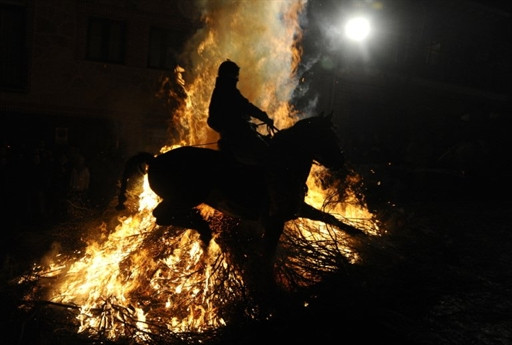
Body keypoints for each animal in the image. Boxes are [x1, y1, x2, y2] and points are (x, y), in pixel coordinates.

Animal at [116, 113, 364, 258]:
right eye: (326, 136)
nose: (340, 161)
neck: (282, 168)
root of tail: (155, 160)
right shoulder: (274, 220)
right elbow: (267, 254)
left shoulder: (294, 210)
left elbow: (329, 218)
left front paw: (361, 235)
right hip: (188, 196)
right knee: (161, 215)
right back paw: (201, 226)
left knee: (164, 216)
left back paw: (202, 228)